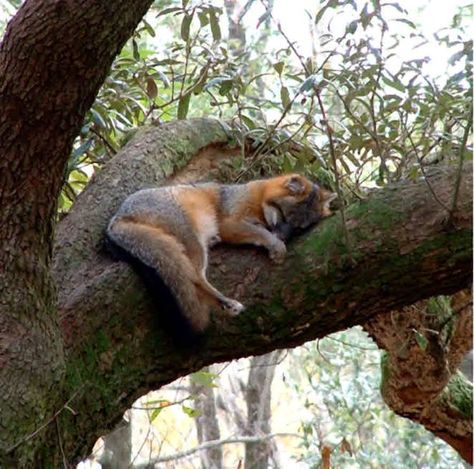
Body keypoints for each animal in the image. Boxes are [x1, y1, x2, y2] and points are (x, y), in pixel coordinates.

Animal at [106, 172, 336, 340]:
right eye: (283, 216)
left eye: (298, 229)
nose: (284, 237)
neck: (256, 194)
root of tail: (117, 219)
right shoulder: (229, 222)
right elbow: (260, 233)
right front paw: (275, 244)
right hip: (195, 244)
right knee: (196, 279)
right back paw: (227, 303)